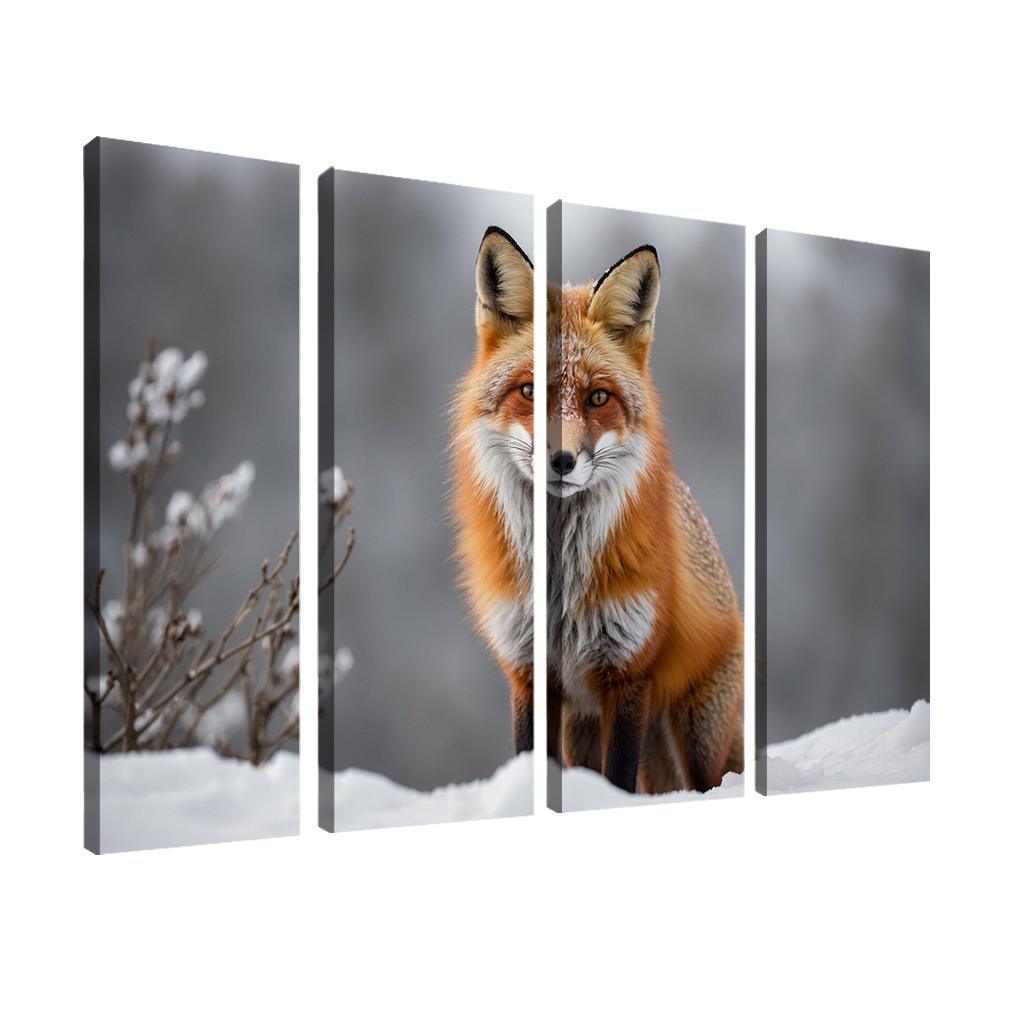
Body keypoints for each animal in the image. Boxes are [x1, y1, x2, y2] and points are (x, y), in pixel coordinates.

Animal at [452, 227, 742, 794]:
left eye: (598, 398)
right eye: (529, 391)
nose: (562, 460)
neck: (560, 581)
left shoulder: (627, 674)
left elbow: (619, 779)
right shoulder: (529, 670)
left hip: (696, 739)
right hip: (584, 728)